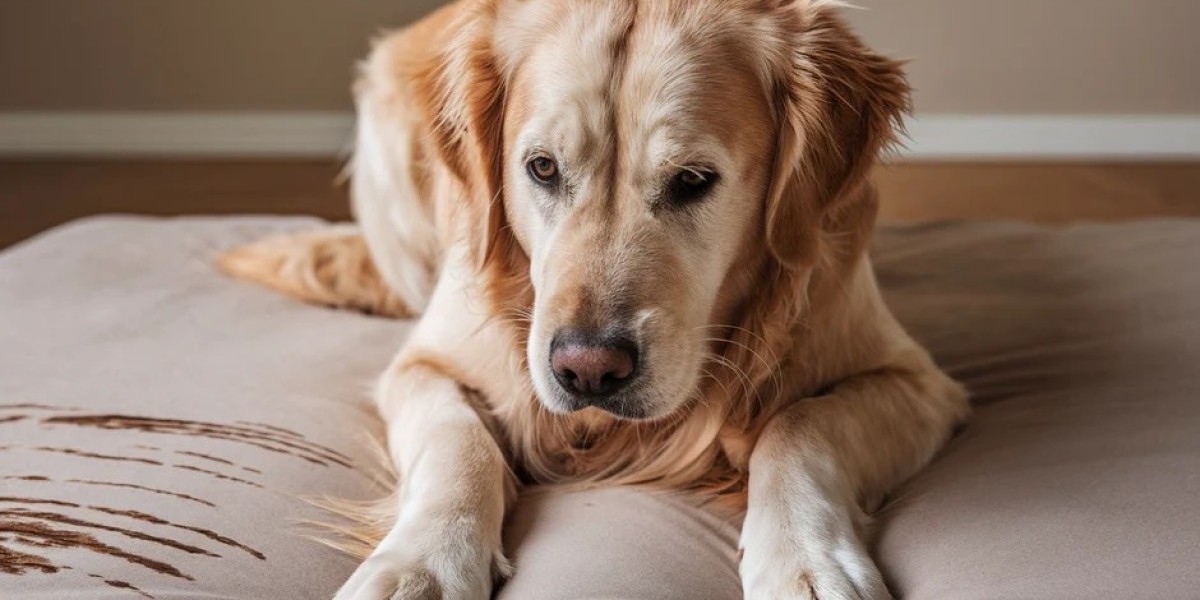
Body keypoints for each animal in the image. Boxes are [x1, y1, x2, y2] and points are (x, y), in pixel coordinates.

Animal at [220, 0, 969, 597]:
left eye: (693, 180)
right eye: (542, 168)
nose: (587, 370)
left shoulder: (917, 381)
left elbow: (798, 425)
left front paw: (805, 561)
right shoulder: (424, 364)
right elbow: (458, 440)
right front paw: (423, 564)